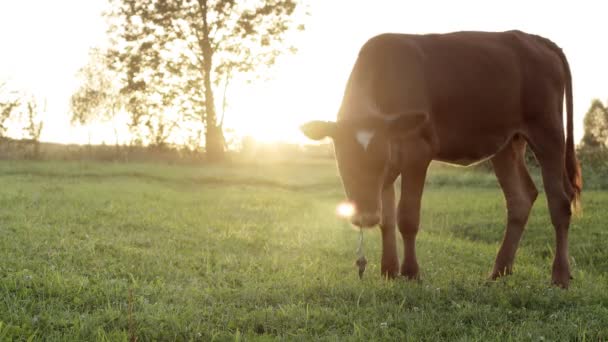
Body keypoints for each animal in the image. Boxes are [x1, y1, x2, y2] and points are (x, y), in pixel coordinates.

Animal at [302, 30, 580, 288]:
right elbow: (388, 221)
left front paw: (411, 272)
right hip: (507, 143)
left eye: (379, 159)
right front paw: (389, 271)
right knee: (520, 198)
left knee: (560, 201)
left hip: (548, 132)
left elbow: (407, 216)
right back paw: (499, 271)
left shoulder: (418, 150)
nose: (366, 217)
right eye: (345, 161)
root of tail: (536, 39)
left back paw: (559, 276)